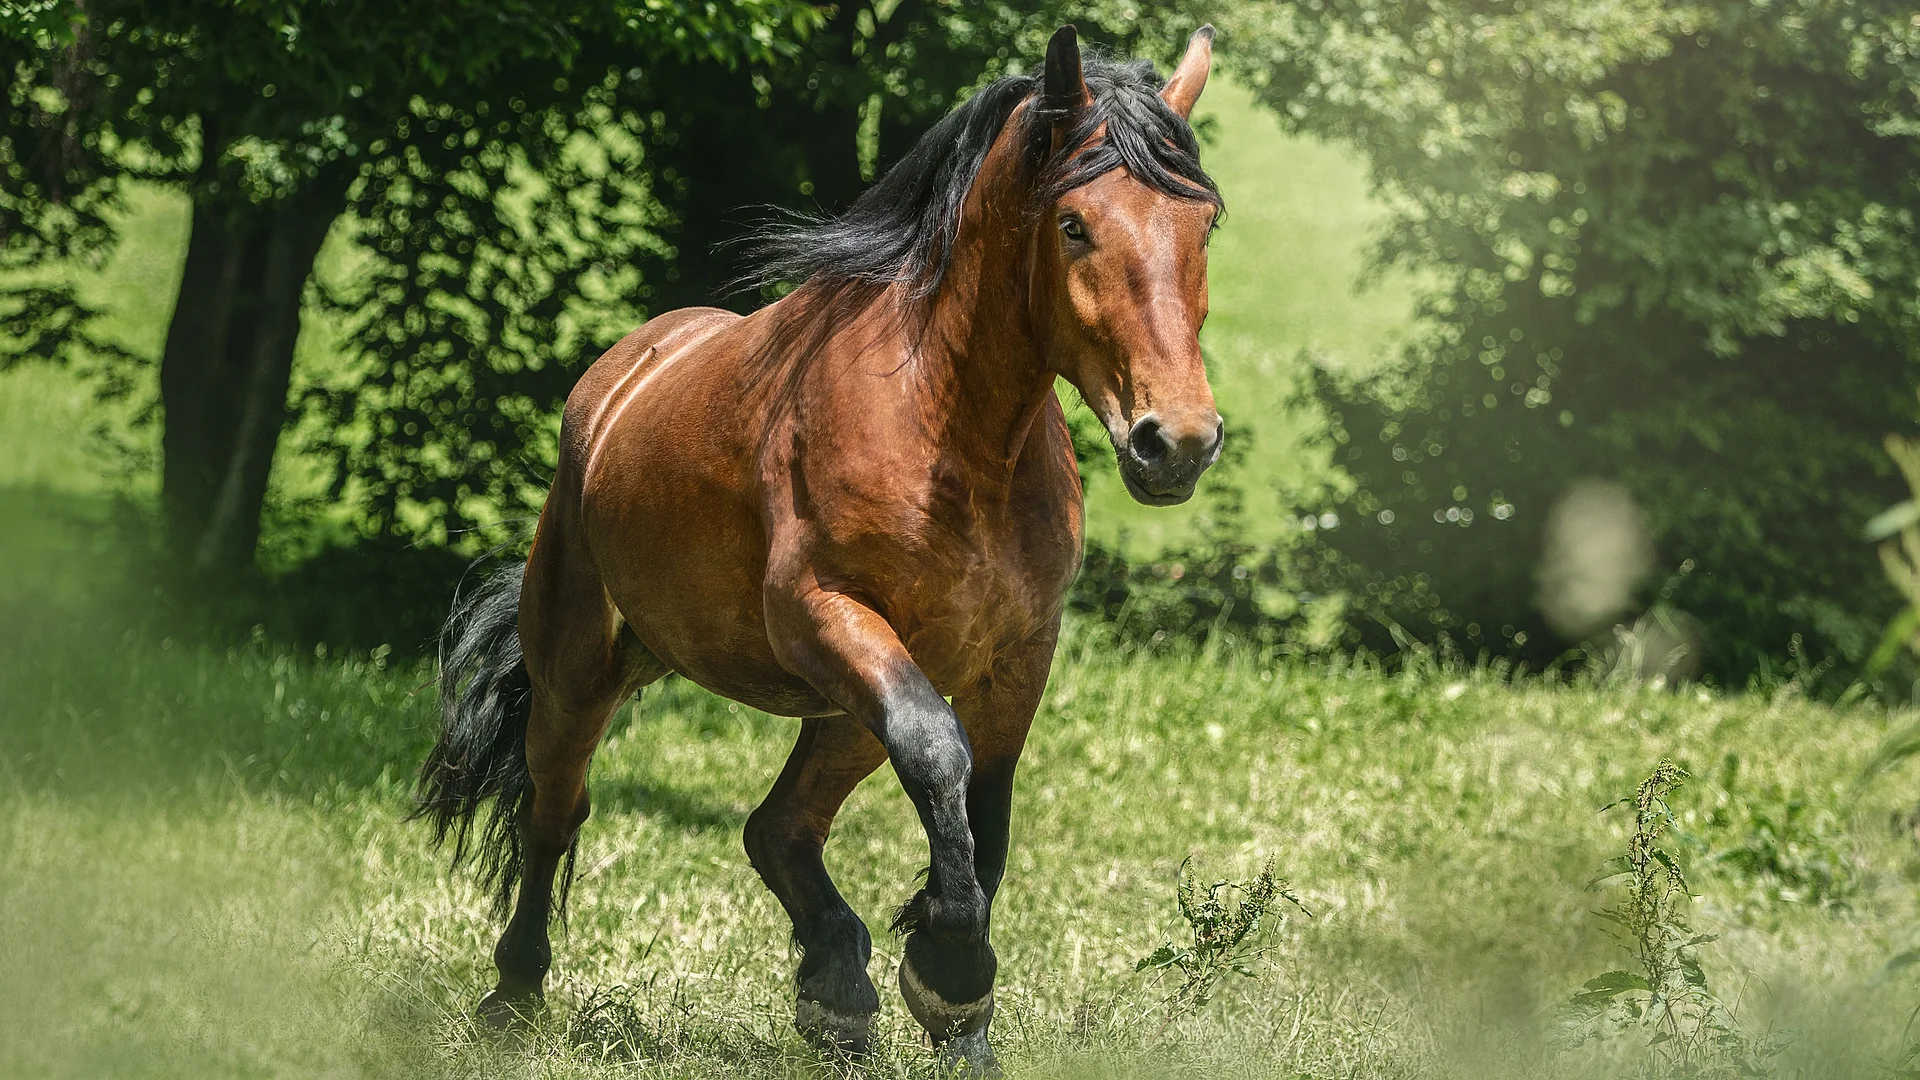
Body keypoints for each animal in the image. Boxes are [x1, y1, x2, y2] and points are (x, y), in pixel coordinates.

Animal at [415, 24, 1225, 1074]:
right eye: (1076, 225)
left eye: (1204, 225)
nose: (1179, 441)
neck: (949, 433)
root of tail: (617, 384)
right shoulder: (821, 614)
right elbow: (941, 756)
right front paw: (951, 975)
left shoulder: (1013, 653)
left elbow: (987, 804)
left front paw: (956, 1011)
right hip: (582, 673)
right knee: (556, 812)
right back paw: (513, 997)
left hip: (845, 707)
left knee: (779, 828)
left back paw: (836, 991)